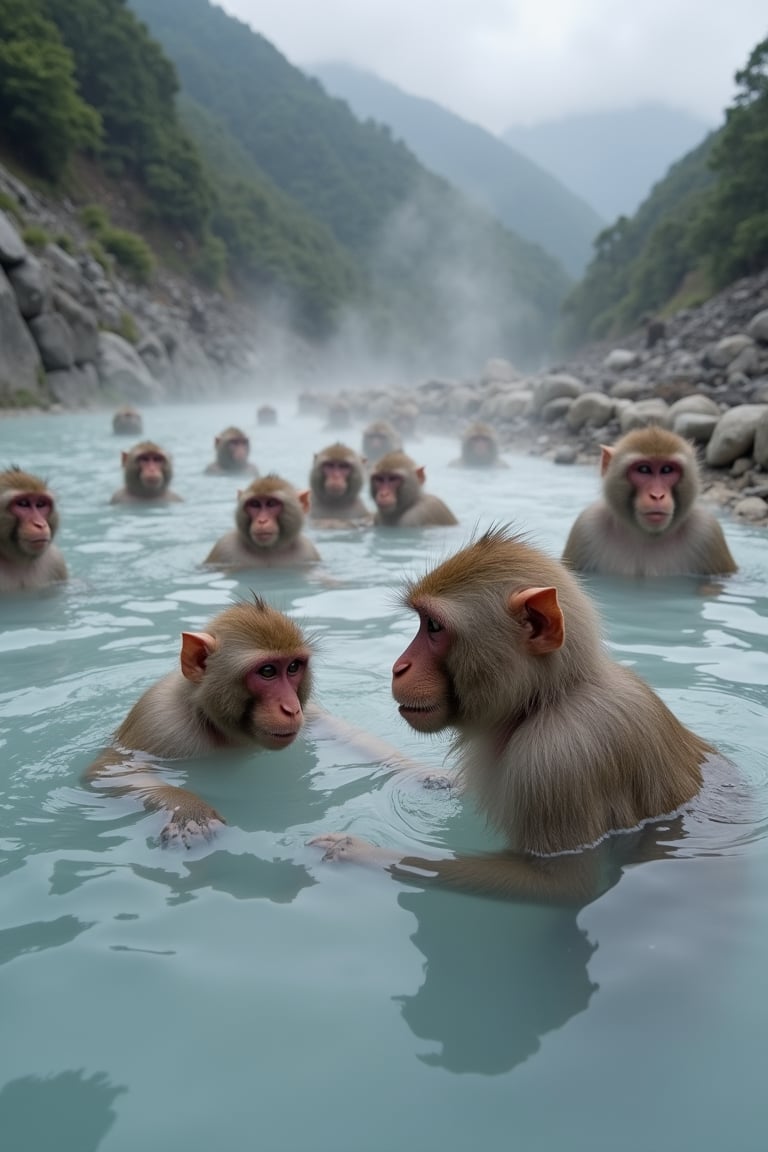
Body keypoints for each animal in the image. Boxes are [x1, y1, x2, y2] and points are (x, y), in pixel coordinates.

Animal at [84, 599, 313, 843]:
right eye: (268, 671)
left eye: (293, 667)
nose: (291, 709)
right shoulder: (161, 721)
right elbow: (107, 771)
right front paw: (189, 809)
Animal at [310, 527, 727, 903]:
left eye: (433, 626)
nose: (399, 667)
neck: (548, 700)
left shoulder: (558, 760)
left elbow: (564, 884)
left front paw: (360, 852)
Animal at [561, 426, 736, 576]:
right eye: (644, 469)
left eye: (667, 469)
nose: (657, 495)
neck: (647, 537)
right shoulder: (586, 526)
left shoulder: (707, 531)